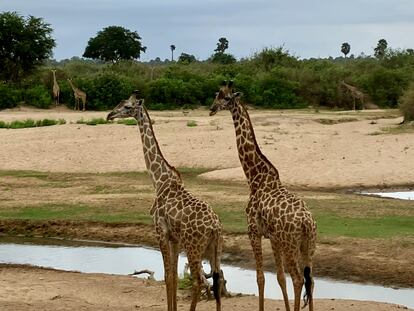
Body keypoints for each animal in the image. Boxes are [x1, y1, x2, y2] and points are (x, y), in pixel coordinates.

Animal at [106, 92, 223, 311]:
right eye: (120, 103)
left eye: (127, 107)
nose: (109, 115)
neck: (158, 180)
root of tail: (215, 227)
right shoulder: (174, 238)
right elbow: (174, 277)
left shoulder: (160, 230)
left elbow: (168, 276)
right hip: (215, 248)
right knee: (216, 280)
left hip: (194, 247)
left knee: (199, 281)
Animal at [210, 81, 316, 311]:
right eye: (216, 95)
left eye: (226, 98)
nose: (211, 109)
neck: (255, 177)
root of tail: (306, 222)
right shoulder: (273, 237)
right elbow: (279, 277)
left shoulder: (253, 231)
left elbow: (261, 278)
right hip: (308, 244)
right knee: (310, 279)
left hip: (290, 244)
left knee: (298, 279)